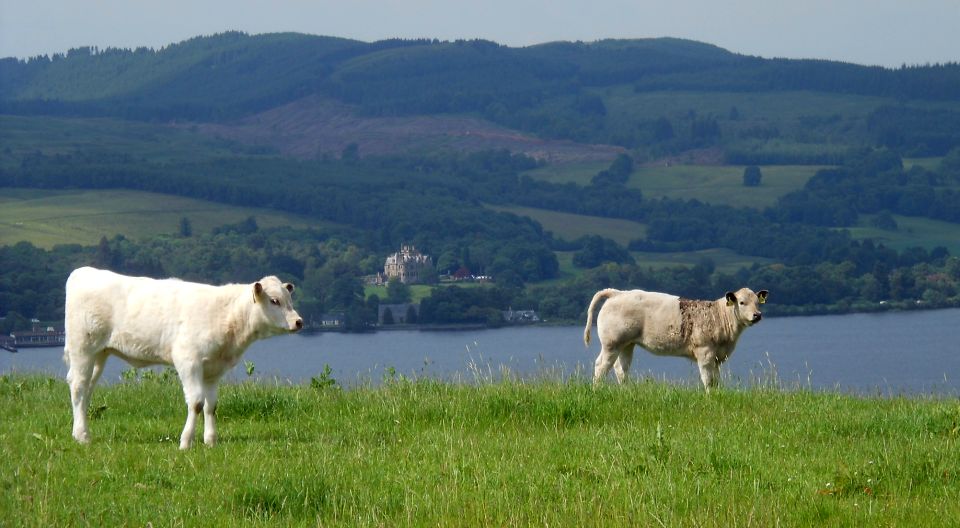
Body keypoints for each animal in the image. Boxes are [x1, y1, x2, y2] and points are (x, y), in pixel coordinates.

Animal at [63, 268, 302, 450]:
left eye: (289, 299)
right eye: (274, 301)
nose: (298, 321)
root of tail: (85, 271)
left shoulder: (214, 369)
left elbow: (211, 405)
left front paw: (210, 441)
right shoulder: (188, 361)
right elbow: (196, 403)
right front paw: (186, 442)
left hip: (99, 354)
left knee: (86, 390)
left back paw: (78, 432)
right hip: (82, 348)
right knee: (78, 386)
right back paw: (83, 435)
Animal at [580, 286, 768, 390]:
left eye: (757, 303)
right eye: (742, 302)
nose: (757, 315)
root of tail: (618, 293)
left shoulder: (717, 357)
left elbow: (715, 380)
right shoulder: (705, 352)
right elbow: (708, 380)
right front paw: (709, 398)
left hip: (627, 344)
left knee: (621, 368)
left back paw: (627, 392)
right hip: (611, 343)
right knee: (601, 366)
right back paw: (597, 390)